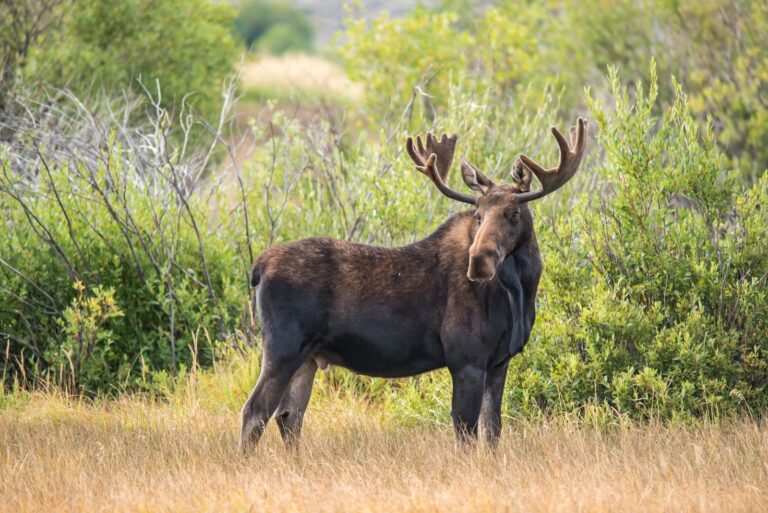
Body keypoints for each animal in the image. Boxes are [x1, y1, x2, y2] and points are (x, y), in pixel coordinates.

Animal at [240, 118, 587, 451]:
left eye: (513, 213)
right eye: (477, 214)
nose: (479, 261)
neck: (520, 292)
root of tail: (258, 267)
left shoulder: (499, 362)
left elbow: (492, 434)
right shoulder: (466, 360)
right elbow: (465, 434)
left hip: (308, 357)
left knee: (289, 415)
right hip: (283, 348)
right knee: (255, 411)